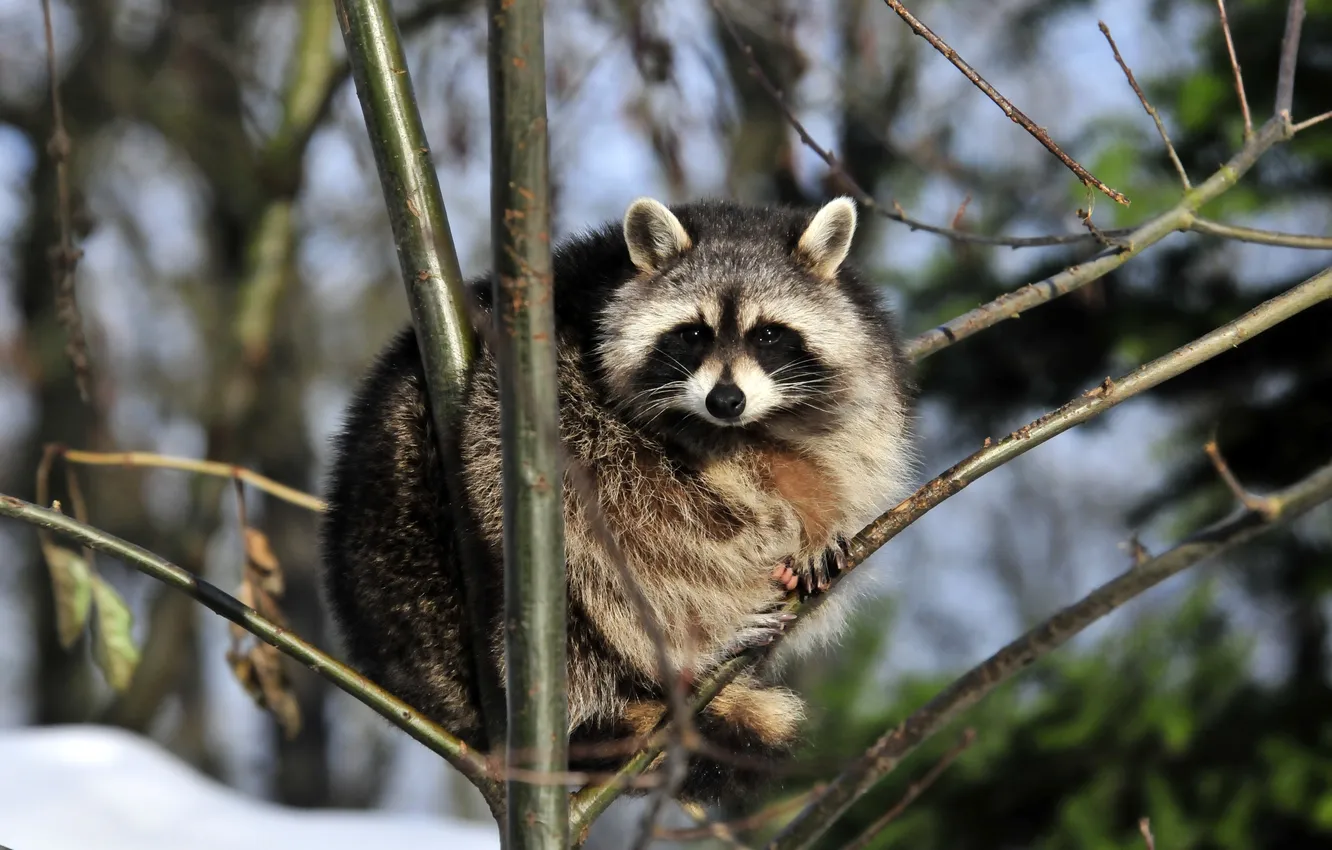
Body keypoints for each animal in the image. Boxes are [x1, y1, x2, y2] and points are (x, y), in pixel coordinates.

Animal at [319, 197, 916, 804]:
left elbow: (842, 461)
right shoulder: (560, 346)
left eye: (769, 334)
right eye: (692, 334)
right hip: (423, 531)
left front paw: (818, 507)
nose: (725, 401)